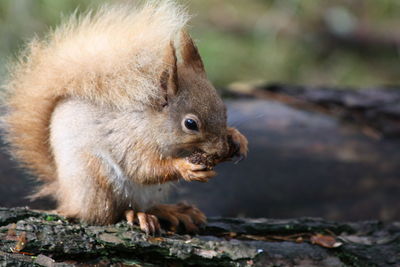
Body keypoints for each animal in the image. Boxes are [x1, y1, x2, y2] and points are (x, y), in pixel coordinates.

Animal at [2, 0, 247, 234]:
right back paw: (136, 215)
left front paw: (238, 138)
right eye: (190, 124)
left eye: (224, 109)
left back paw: (171, 211)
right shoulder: (130, 139)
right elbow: (143, 168)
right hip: (97, 179)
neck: (151, 122)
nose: (221, 151)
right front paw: (186, 168)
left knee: (145, 205)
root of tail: (67, 197)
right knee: (107, 214)